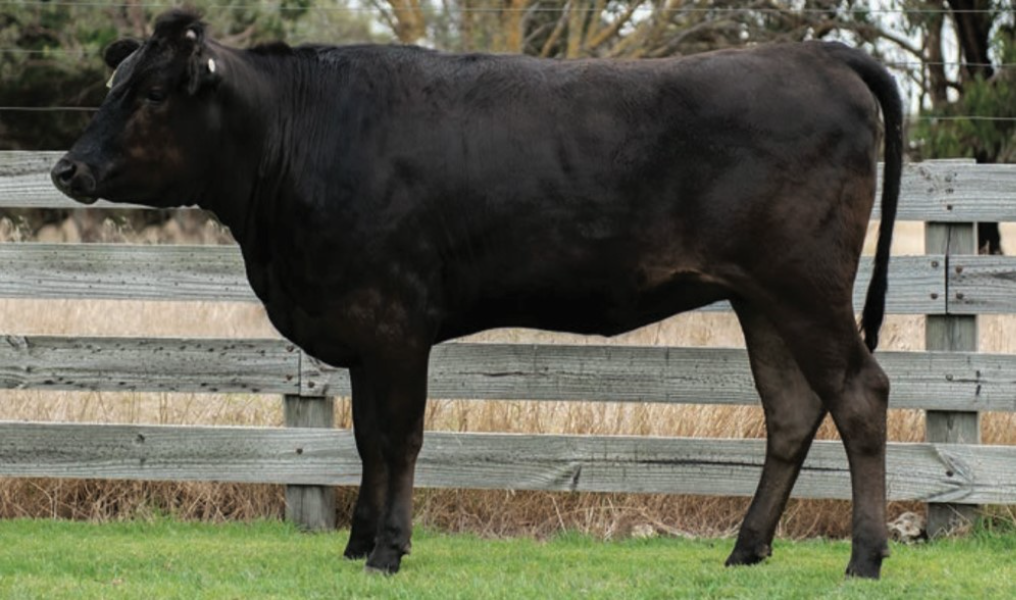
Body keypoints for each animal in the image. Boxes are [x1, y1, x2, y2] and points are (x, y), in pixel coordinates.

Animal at [52, 9, 902, 579]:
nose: (68, 168)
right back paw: (746, 548)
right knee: (791, 409)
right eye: (115, 85)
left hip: (805, 285)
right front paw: (357, 542)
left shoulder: (394, 319)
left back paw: (864, 557)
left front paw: (389, 552)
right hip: (761, 297)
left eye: (154, 92)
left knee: (861, 392)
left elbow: (399, 437)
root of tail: (815, 53)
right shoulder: (361, 328)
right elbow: (365, 438)